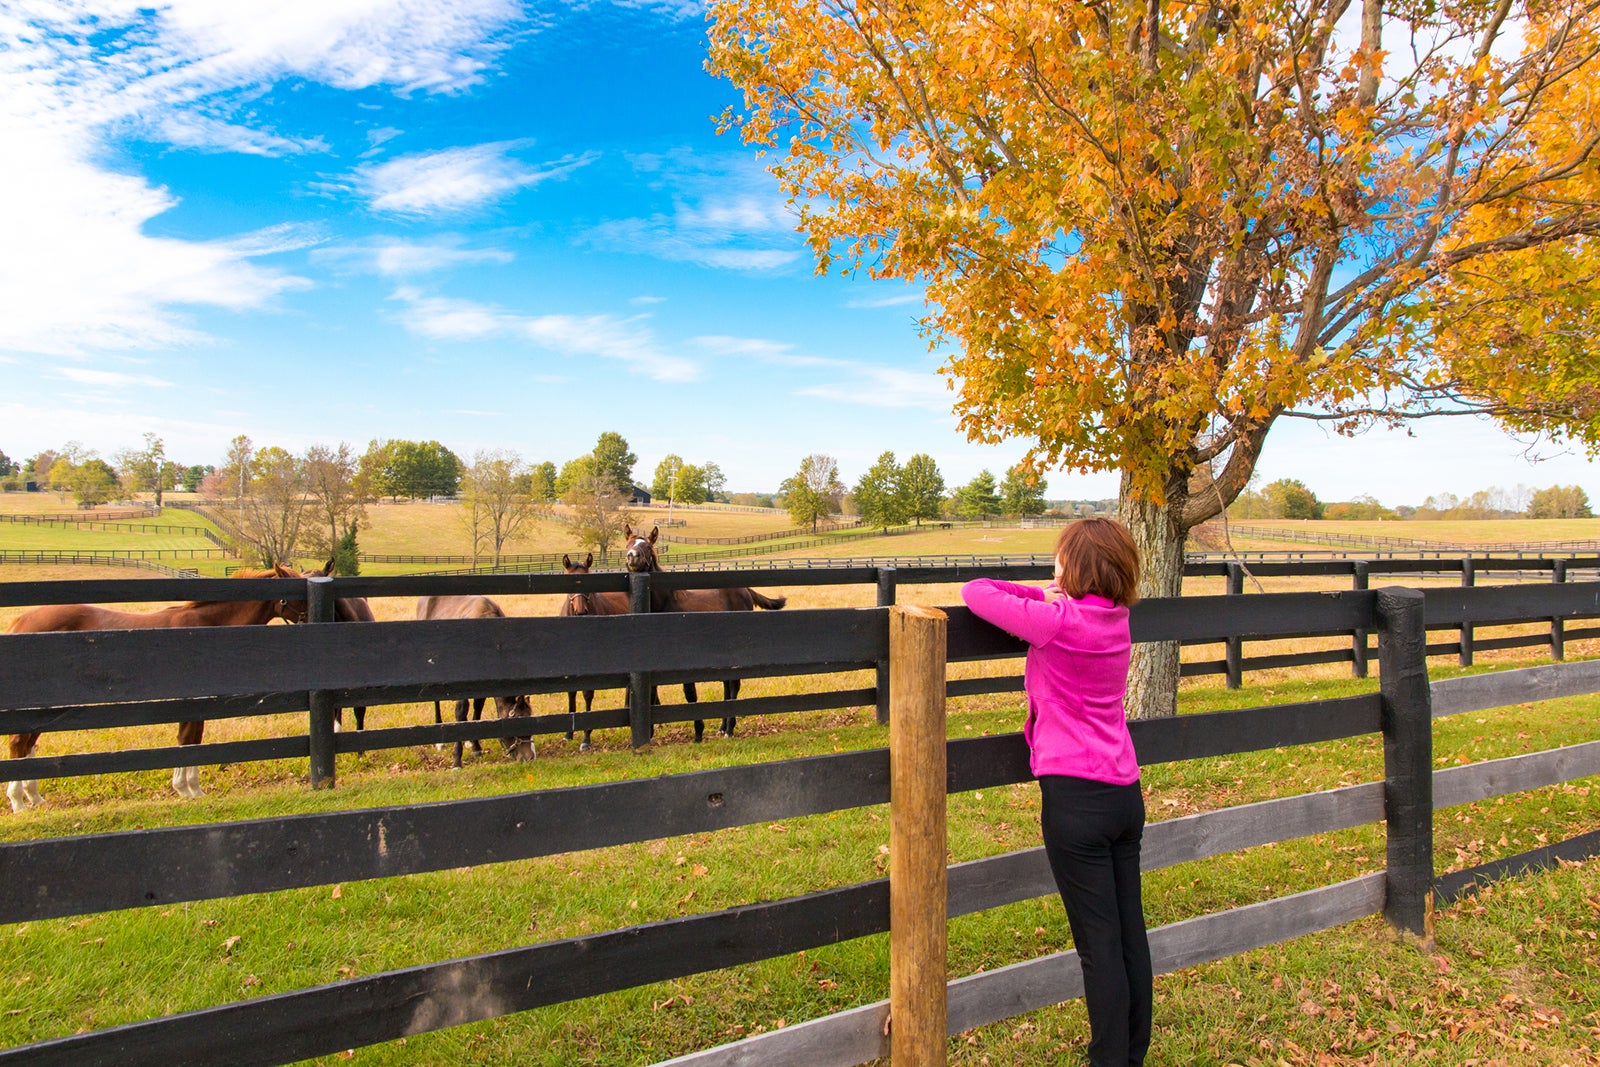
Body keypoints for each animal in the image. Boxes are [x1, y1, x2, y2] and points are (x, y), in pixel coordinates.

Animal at [3, 563, 305, 812]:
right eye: (299, 593)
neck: (205, 627)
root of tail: (20, 621)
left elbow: (191, 740)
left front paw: (187, 788)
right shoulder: (194, 702)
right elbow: (188, 741)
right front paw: (190, 790)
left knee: (29, 742)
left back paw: (35, 798)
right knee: (19, 742)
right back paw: (18, 802)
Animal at [412, 598, 537, 771]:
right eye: (518, 720)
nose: (530, 756)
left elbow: (478, 708)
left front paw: (475, 746)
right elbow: (461, 713)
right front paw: (457, 761)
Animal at [617, 524, 787, 742]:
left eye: (647, 547)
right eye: (628, 544)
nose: (633, 556)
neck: (666, 604)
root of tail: (745, 590)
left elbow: (690, 693)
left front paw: (698, 733)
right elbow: (652, 693)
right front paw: (650, 734)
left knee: (734, 684)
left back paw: (729, 729)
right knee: (727, 685)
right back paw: (722, 727)